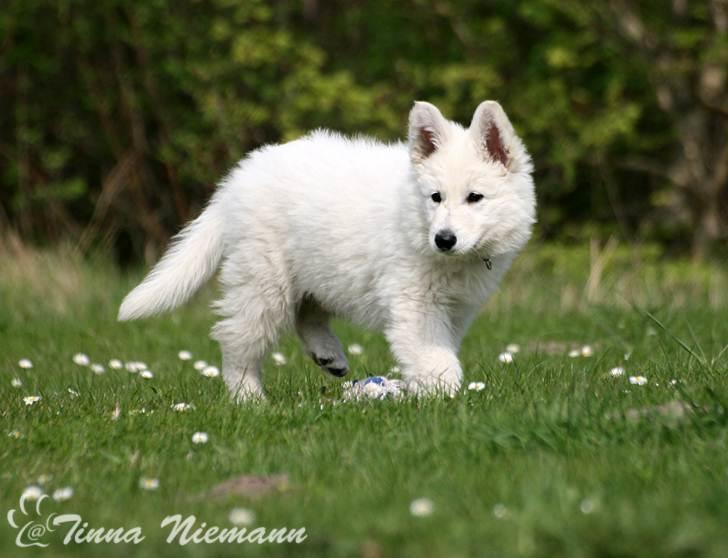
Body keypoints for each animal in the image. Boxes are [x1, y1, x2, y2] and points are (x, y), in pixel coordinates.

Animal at [118, 99, 536, 398]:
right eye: (435, 197)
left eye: (475, 197)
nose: (444, 239)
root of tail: (237, 180)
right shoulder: (416, 303)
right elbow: (432, 353)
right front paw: (446, 394)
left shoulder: (456, 307)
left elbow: (438, 349)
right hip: (265, 280)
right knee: (238, 338)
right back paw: (249, 398)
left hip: (320, 268)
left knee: (307, 314)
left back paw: (328, 355)